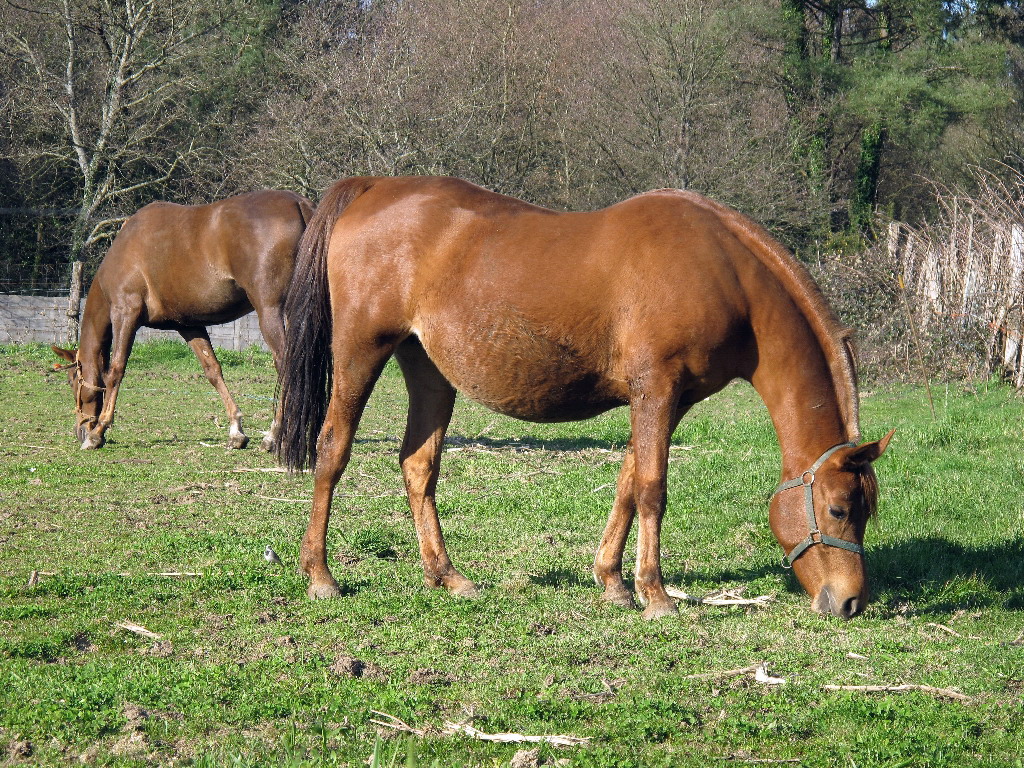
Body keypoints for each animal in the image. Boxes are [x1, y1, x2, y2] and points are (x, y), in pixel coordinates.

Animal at [51, 189, 313, 450]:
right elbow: (212, 370)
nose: (80, 430)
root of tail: (300, 203)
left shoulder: (125, 314)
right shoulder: (189, 325)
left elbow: (115, 371)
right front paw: (236, 430)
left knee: (286, 365)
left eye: (72, 381)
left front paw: (99, 431)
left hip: (270, 311)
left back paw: (273, 435)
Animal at [276, 177, 892, 622]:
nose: (850, 602)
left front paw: (613, 582)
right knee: (333, 450)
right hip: (361, 352)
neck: (724, 271)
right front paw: (655, 594)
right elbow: (652, 490)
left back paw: (446, 576)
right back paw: (320, 574)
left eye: (866, 510)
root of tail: (374, 187)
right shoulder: (657, 390)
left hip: (428, 370)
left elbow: (628, 483)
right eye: (838, 509)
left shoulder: (669, 400)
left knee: (417, 465)